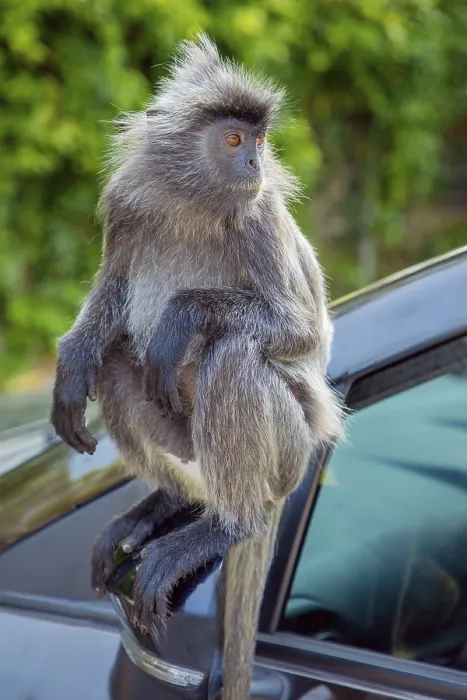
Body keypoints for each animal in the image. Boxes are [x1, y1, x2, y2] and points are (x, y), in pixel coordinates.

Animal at [50, 35, 344, 700]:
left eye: (258, 140)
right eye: (233, 140)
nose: (255, 166)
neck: (194, 203)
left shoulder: (261, 217)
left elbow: (303, 331)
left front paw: (183, 316)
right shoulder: (127, 207)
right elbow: (112, 295)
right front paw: (73, 357)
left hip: (286, 453)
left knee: (232, 352)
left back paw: (230, 526)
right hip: (188, 450)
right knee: (117, 355)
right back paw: (165, 504)